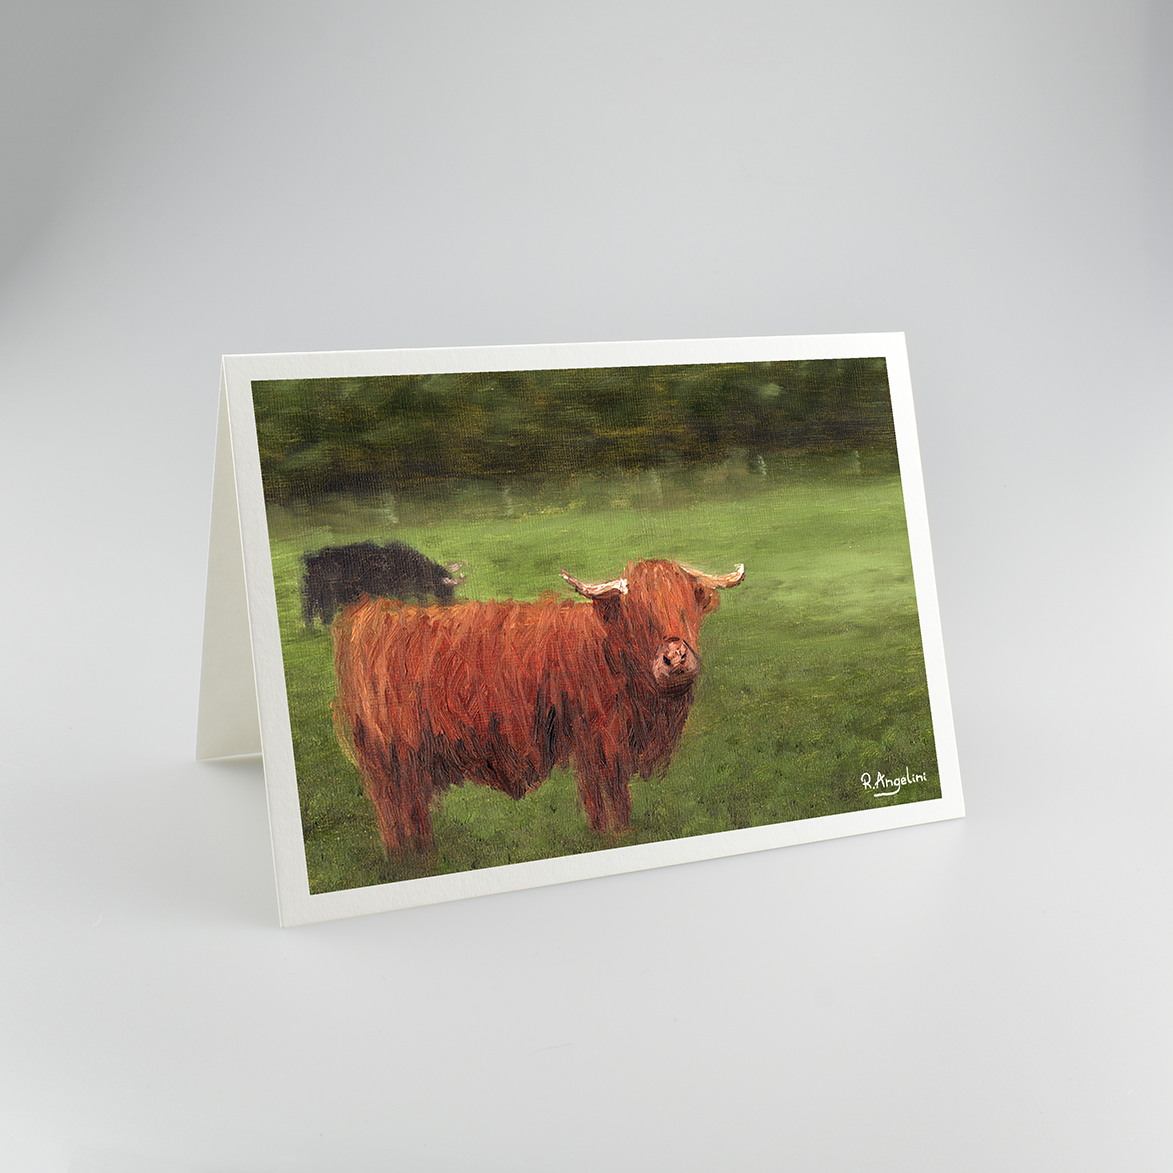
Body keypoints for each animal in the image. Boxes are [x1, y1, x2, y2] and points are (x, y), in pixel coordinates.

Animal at [301, 540, 466, 627]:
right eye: (445, 588)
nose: (449, 605)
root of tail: (312, 560)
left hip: (315, 594)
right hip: (322, 595)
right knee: (316, 611)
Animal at [330, 558, 745, 855]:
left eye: (686, 607)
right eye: (639, 612)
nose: (674, 658)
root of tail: (372, 617)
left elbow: (601, 795)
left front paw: (607, 834)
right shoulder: (598, 739)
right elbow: (609, 794)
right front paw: (615, 836)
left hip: (406, 759)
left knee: (411, 807)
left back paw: (421, 853)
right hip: (388, 756)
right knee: (393, 808)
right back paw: (404, 858)